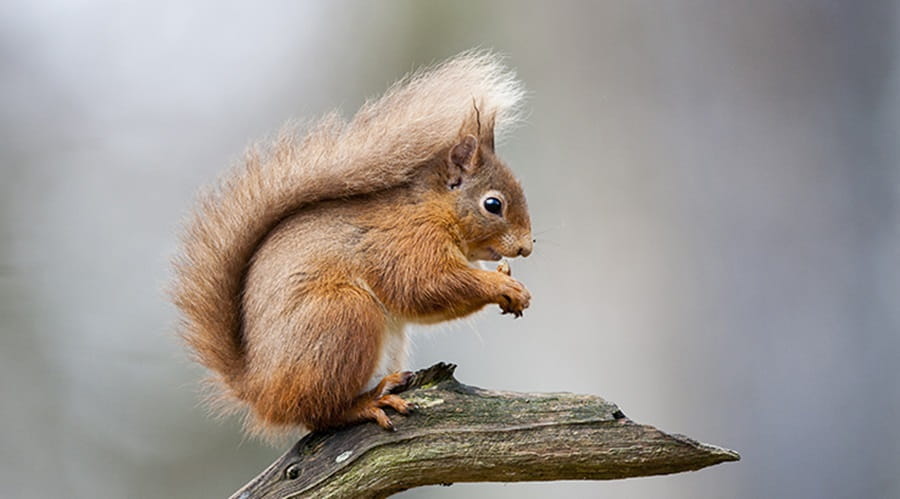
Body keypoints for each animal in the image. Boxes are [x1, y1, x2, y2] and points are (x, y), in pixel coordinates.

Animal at [172, 51, 533, 438]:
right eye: (493, 204)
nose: (527, 247)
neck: (431, 210)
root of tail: (259, 390)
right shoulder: (406, 243)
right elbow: (424, 285)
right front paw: (502, 286)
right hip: (344, 316)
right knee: (320, 413)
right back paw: (368, 402)